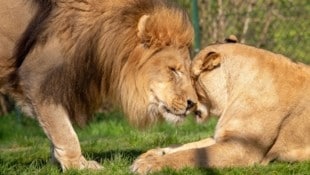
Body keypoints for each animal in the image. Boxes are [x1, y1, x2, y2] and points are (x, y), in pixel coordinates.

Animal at [0, 0, 197, 170]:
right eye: (173, 70)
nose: (192, 103)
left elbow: (55, 129)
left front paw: (58, 163)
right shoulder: (38, 77)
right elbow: (65, 132)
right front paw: (79, 166)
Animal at [132, 43, 310, 174]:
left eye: (189, 80)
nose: (189, 103)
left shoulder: (243, 149)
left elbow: (191, 154)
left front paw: (150, 164)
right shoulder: (223, 137)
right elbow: (186, 146)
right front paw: (150, 154)